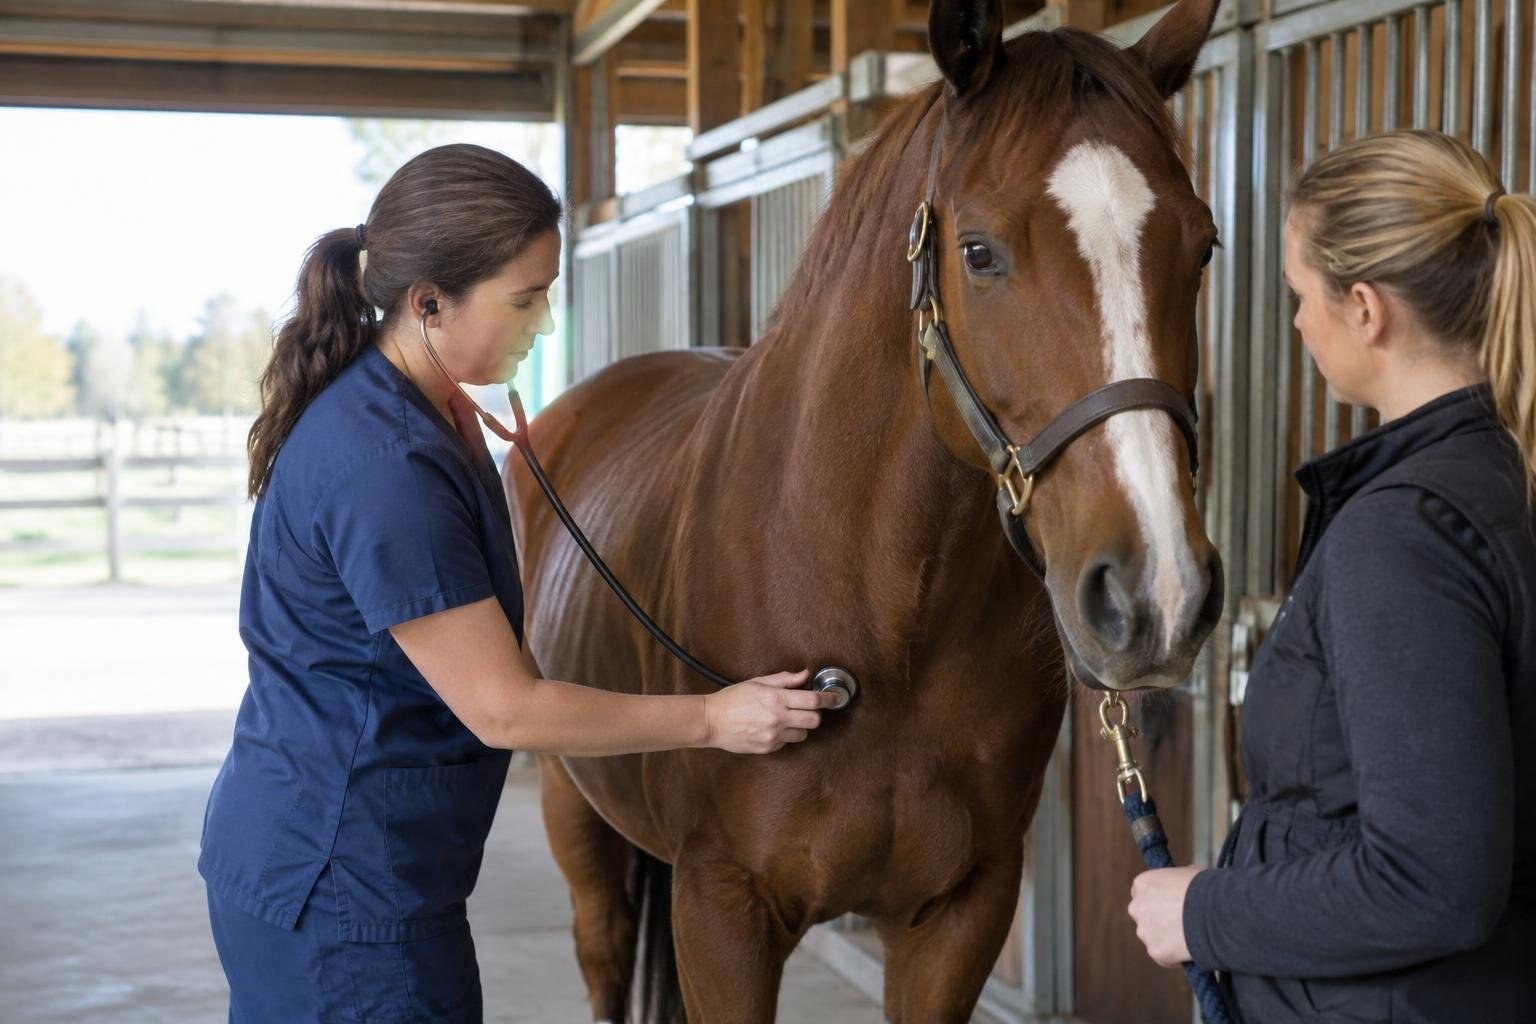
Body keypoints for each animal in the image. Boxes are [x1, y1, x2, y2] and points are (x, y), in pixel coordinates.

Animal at [506, 0, 1225, 1019]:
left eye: (1202, 245)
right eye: (978, 251)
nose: (1157, 596)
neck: (883, 626)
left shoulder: (961, 913)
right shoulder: (722, 910)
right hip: (579, 816)